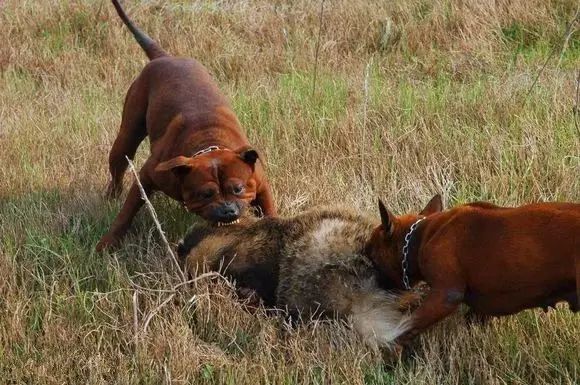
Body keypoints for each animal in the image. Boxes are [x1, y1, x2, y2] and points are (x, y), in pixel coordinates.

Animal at [97, 0, 276, 252]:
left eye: (238, 189)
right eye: (205, 194)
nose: (228, 210)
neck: (209, 143)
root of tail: (164, 57)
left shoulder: (261, 185)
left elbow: (269, 211)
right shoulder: (146, 177)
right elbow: (126, 213)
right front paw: (109, 242)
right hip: (127, 136)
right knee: (118, 166)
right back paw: (111, 196)